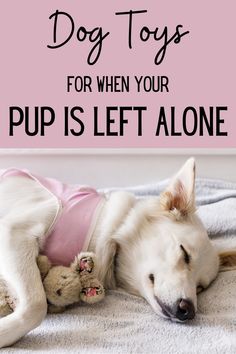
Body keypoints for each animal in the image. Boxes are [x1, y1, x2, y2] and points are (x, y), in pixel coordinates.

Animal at [0, 157, 236, 346]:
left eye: (201, 287)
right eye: (185, 254)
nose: (188, 310)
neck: (104, 233)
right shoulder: (14, 233)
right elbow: (36, 304)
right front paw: (6, 333)